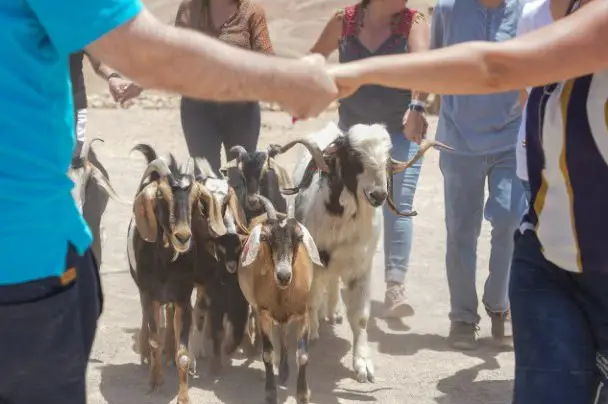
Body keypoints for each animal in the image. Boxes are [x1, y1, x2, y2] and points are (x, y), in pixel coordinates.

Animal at [127, 145, 227, 404]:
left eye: (195, 198)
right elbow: (155, 339)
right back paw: (146, 353)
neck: (164, 264)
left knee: (170, 315)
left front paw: (183, 396)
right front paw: (155, 381)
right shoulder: (148, 294)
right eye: (160, 196)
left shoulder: (182, 297)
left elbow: (183, 352)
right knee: (149, 321)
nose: (182, 237)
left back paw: (169, 352)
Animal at [238, 194, 324, 402]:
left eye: (299, 237)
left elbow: (302, 355)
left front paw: (302, 394)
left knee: (284, 331)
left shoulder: (302, 313)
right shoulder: (264, 312)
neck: (282, 292)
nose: (283, 275)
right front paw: (270, 392)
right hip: (257, 307)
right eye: (265, 238)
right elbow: (268, 354)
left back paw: (284, 371)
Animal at [270, 121, 452, 384]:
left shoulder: (361, 266)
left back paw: (334, 311)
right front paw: (312, 331)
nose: (378, 194)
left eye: (387, 157)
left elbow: (361, 317)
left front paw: (363, 365)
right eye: (355, 157)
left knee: (332, 283)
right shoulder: (316, 259)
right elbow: (312, 298)